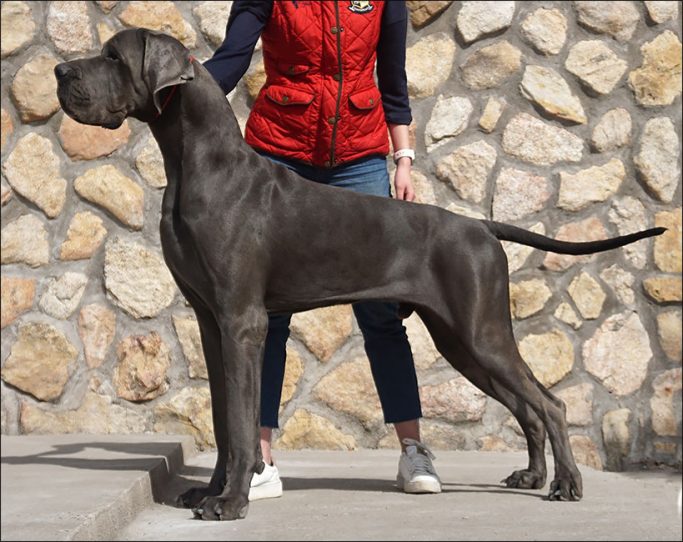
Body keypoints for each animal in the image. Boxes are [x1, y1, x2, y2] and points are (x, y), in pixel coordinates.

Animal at [56, 29, 664, 524]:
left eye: (112, 56)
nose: (61, 72)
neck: (197, 166)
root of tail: (479, 225)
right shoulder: (211, 323)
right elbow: (225, 419)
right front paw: (210, 492)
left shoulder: (242, 322)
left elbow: (239, 420)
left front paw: (230, 502)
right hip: (461, 342)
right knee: (527, 406)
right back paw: (533, 476)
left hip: (481, 332)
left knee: (550, 404)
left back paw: (566, 484)